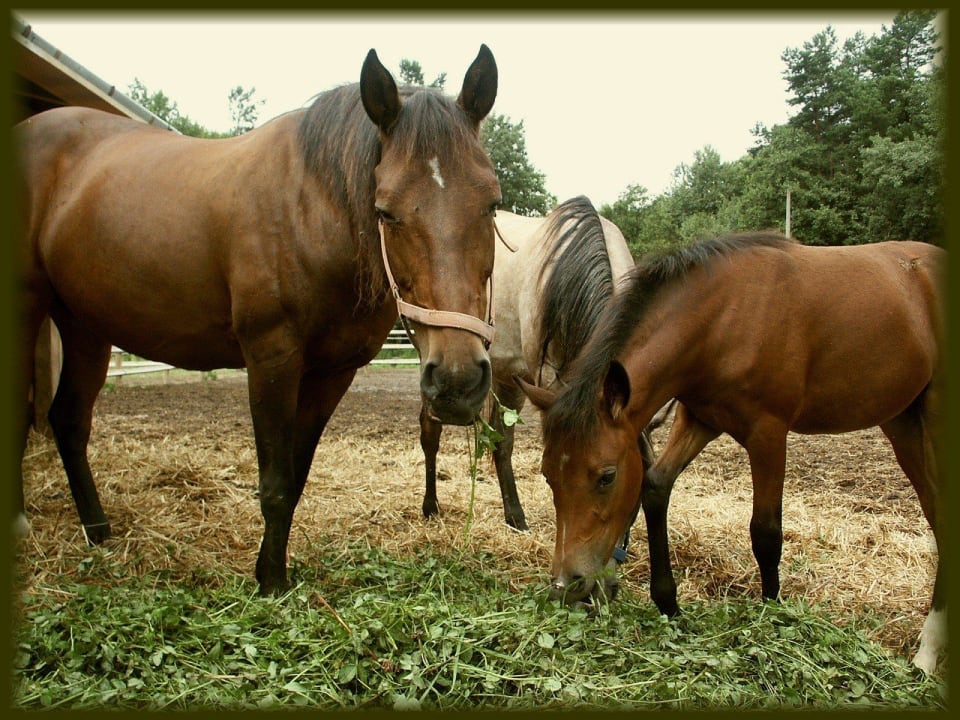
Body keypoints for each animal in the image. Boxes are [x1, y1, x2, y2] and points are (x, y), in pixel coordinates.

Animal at [16, 45, 501, 597]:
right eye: (386, 211)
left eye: (491, 203)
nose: (458, 381)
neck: (310, 211)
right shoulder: (271, 359)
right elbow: (273, 483)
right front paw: (269, 583)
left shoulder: (332, 373)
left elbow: (295, 477)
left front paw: (274, 572)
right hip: (27, 306)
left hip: (85, 326)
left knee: (69, 420)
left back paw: (98, 530)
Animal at [518, 232, 946, 673]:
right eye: (548, 476)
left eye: (606, 476)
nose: (567, 586)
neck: (723, 317)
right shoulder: (698, 419)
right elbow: (655, 487)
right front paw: (668, 604)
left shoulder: (768, 433)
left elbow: (766, 532)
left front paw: (774, 620)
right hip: (902, 422)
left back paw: (927, 653)